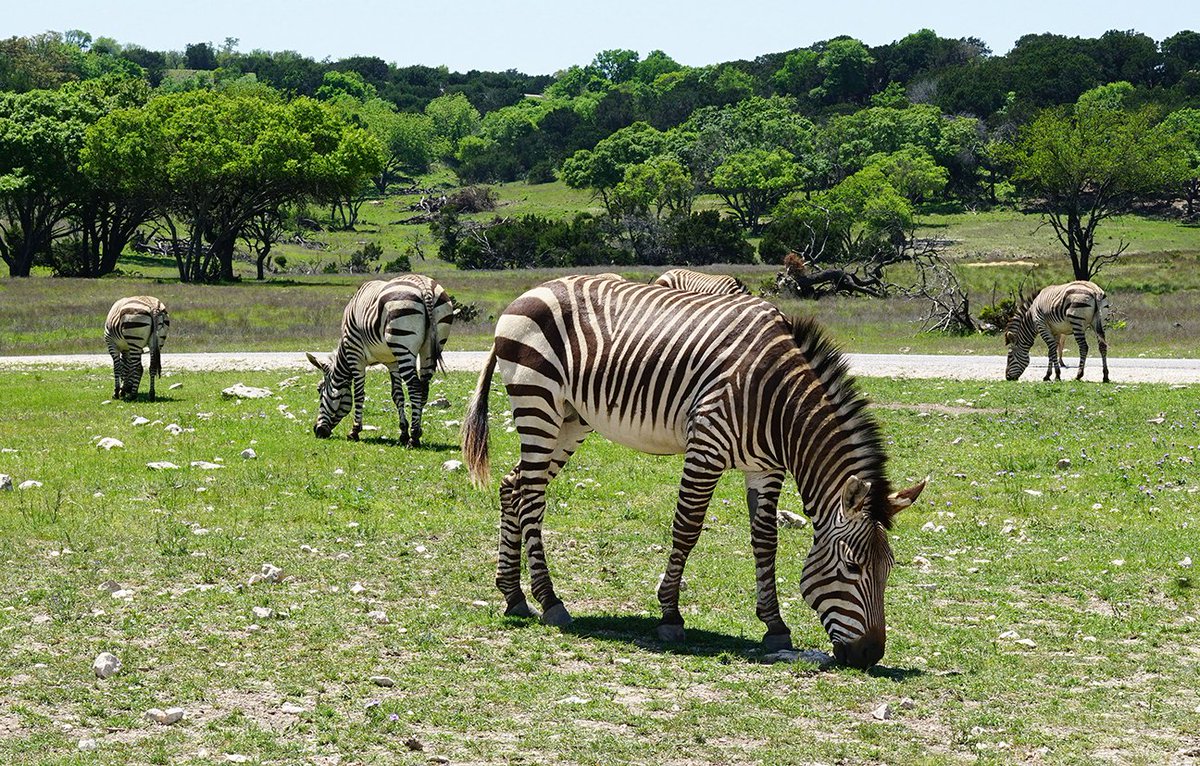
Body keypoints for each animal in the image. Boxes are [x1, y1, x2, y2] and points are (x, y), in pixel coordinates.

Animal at [307, 275, 454, 446]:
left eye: (319, 389)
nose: (317, 431)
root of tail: (424, 286)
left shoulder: (355, 356)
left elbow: (359, 394)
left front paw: (354, 431)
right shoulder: (393, 363)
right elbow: (397, 395)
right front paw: (403, 433)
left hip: (402, 342)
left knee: (415, 387)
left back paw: (414, 437)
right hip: (429, 347)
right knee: (424, 388)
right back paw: (415, 433)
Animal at [462, 275, 925, 669]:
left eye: (888, 569)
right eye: (852, 567)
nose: (869, 655)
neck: (779, 404)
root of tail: (530, 291)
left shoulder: (766, 468)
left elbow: (766, 542)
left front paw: (774, 626)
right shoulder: (707, 448)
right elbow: (687, 529)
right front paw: (670, 615)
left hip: (571, 419)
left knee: (513, 486)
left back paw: (514, 596)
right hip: (538, 401)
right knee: (531, 497)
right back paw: (550, 601)